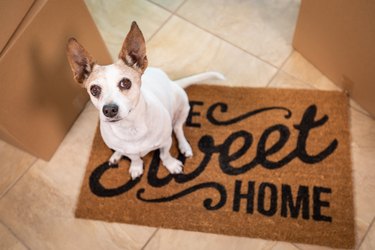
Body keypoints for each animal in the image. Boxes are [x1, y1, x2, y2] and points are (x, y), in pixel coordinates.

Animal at [66, 21, 225, 178]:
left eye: (125, 83)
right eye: (94, 90)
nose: (109, 110)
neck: (130, 128)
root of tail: (172, 82)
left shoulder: (165, 142)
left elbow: (164, 155)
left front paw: (171, 165)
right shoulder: (131, 151)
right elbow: (134, 158)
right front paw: (136, 167)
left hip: (183, 107)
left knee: (178, 128)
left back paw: (184, 146)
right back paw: (117, 155)